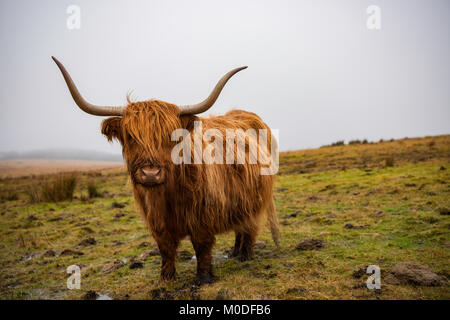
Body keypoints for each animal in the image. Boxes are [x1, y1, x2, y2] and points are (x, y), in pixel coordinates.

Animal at [51, 57, 278, 284]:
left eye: (171, 136)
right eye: (131, 136)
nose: (150, 174)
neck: (166, 195)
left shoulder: (202, 215)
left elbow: (202, 246)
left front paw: (203, 278)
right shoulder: (156, 221)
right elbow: (166, 248)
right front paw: (166, 278)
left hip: (256, 198)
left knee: (249, 225)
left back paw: (245, 255)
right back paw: (234, 252)